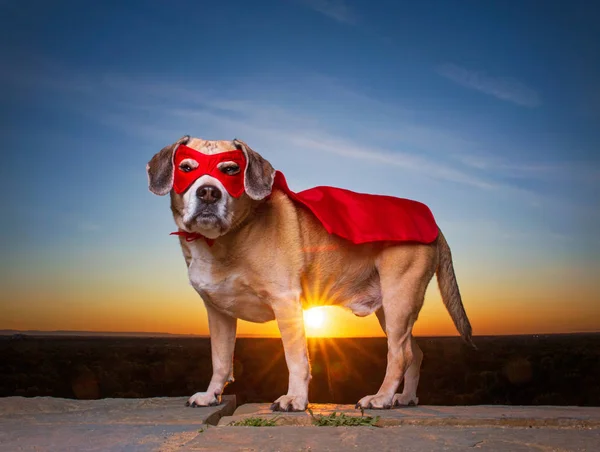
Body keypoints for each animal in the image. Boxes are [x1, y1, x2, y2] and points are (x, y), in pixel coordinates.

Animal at [145, 136, 474, 412]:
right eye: (186, 168)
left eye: (231, 170)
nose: (208, 192)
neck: (225, 238)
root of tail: (435, 225)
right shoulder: (219, 314)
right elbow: (221, 359)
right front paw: (211, 394)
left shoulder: (286, 303)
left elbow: (296, 359)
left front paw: (295, 399)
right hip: (391, 310)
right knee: (414, 353)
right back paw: (404, 398)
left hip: (398, 302)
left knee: (399, 354)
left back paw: (381, 398)